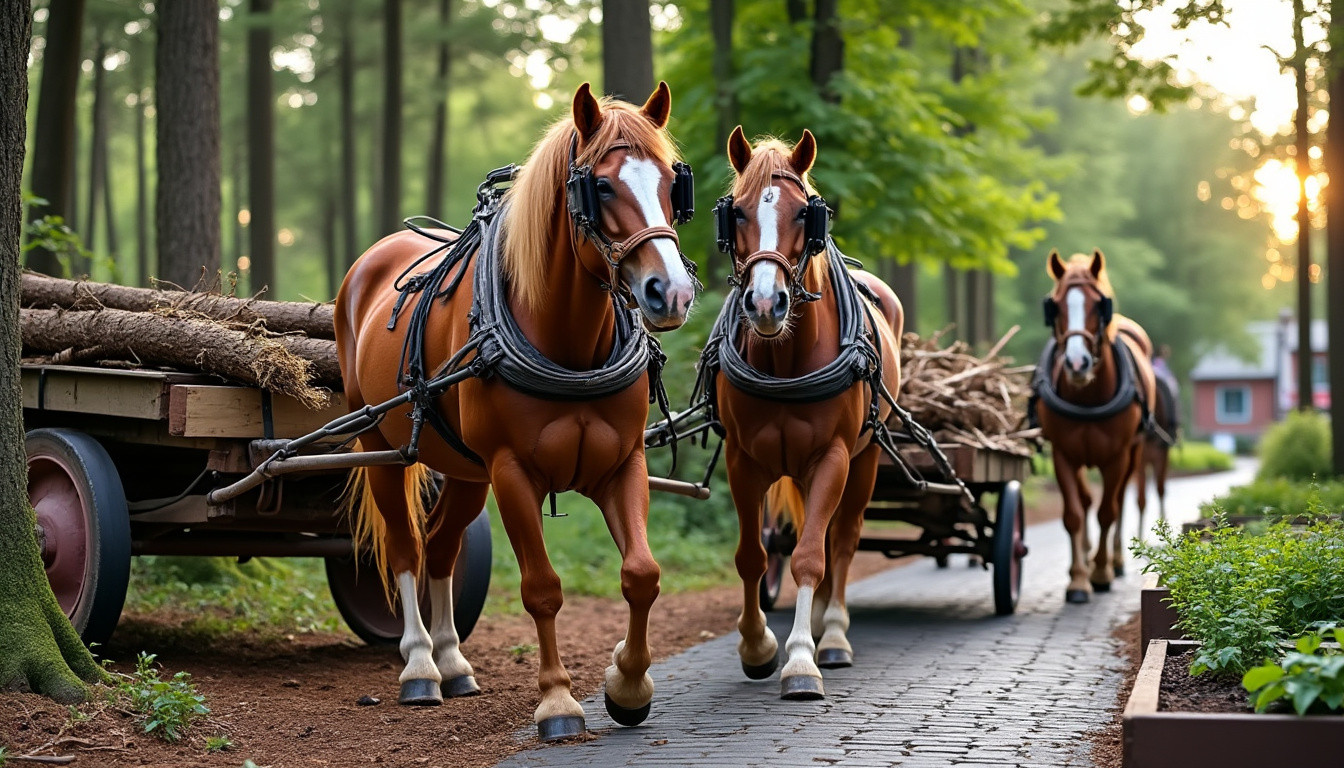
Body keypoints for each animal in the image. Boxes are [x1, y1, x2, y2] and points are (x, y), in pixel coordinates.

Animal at [334, 82, 698, 740]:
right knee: (404, 548)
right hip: (383, 447)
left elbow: (641, 573)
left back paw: (454, 663)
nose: (672, 293)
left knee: (441, 547)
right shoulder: (512, 472)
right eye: (601, 186)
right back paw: (420, 666)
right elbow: (542, 588)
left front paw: (627, 683)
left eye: (670, 183)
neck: (567, 344)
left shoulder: (621, 464)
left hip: (464, 469)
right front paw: (558, 702)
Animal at [703, 127, 903, 699]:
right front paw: (758, 647)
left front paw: (800, 662)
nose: (765, 303)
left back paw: (830, 636)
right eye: (737, 212)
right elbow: (752, 555)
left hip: (864, 461)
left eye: (804, 214)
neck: (785, 357)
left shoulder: (832, 458)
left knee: (843, 540)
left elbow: (813, 555)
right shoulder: (742, 461)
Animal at [1033, 249, 1156, 603]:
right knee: (1087, 501)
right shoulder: (1063, 455)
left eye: (1098, 305)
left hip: (1134, 453)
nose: (1077, 363)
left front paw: (1100, 574)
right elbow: (1074, 514)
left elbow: (1107, 512)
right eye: (1056, 306)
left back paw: (1113, 562)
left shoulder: (1116, 457)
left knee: (1119, 502)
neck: (1087, 396)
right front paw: (1078, 579)